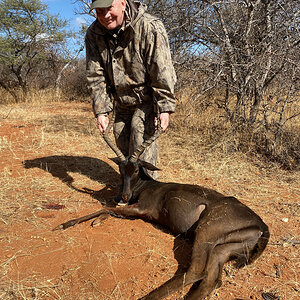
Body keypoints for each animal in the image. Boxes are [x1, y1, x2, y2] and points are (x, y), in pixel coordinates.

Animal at [53, 115, 270, 300]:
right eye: (121, 169)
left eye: (136, 170)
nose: (124, 195)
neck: (145, 186)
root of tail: (262, 225)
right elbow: (112, 209)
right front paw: (96, 221)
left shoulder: (142, 209)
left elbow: (106, 208)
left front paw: (65, 224)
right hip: (222, 250)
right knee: (213, 280)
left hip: (206, 232)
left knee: (196, 272)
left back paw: (146, 297)